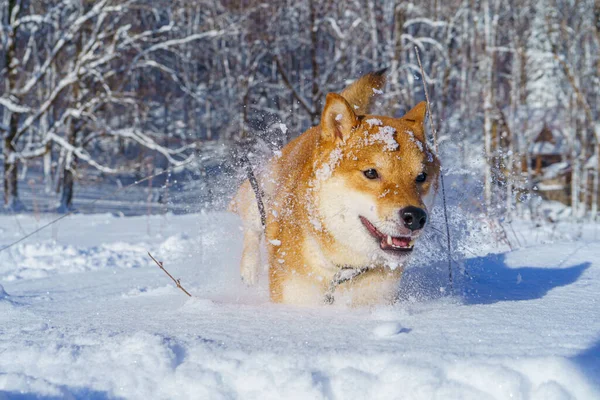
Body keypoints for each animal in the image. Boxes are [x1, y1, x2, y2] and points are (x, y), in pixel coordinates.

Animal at [230, 71, 440, 306]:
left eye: (421, 177)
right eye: (371, 173)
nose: (415, 217)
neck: (340, 271)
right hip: (258, 192)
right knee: (252, 226)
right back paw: (249, 270)